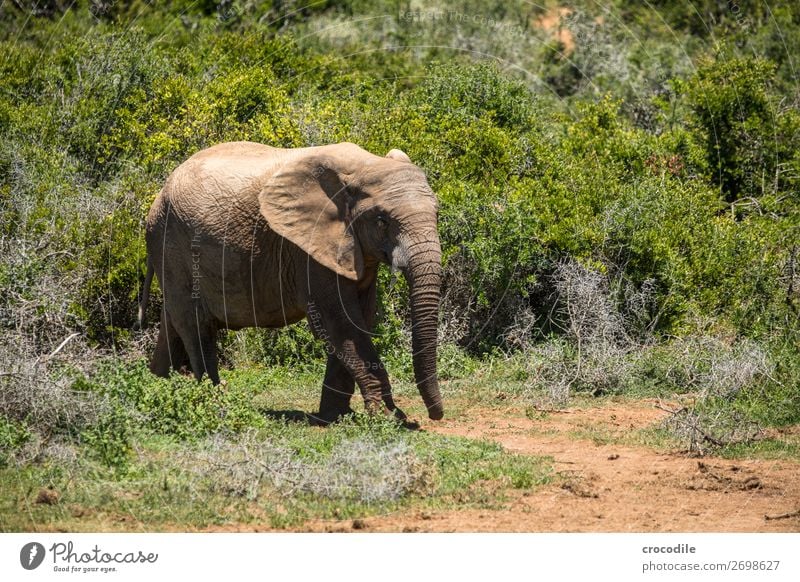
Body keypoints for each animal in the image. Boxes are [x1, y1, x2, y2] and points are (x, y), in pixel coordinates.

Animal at [139, 141, 444, 424]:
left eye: (437, 214)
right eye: (382, 221)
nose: (434, 416)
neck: (364, 165)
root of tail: (159, 193)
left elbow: (359, 319)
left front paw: (335, 417)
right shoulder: (307, 249)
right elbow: (339, 321)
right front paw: (387, 417)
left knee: (173, 324)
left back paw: (153, 390)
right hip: (171, 243)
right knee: (195, 326)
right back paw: (217, 404)